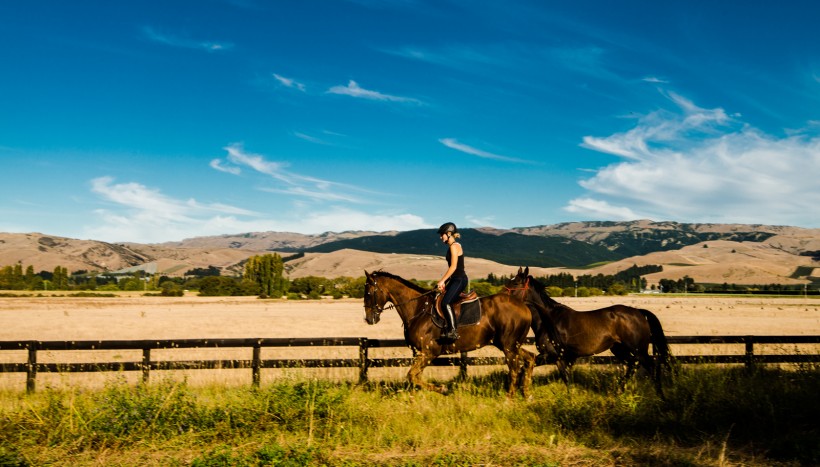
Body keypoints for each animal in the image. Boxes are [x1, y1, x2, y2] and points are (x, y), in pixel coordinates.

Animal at [364, 270, 532, 398]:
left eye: (369, 293)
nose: (369, 319)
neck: (418, 309)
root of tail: (524, 307)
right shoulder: (420, 353)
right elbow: (416, 376)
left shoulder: (429, 352)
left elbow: (412, 375)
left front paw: (442, 389)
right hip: (510, 345)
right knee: (530, 358)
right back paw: (526, 393)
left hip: (509, 346)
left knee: (514, 369)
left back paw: (509, 398)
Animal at [502, 266, 668, 394]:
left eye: (515, 283)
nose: (501, 296)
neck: (548, 320)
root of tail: (639, 313)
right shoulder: (564, 359)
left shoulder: (555, 356)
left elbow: (565, 380)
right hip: (620, 349)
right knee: (633, 366)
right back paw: (618, 392)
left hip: (638, 350)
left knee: (651, 366)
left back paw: (660, 397)